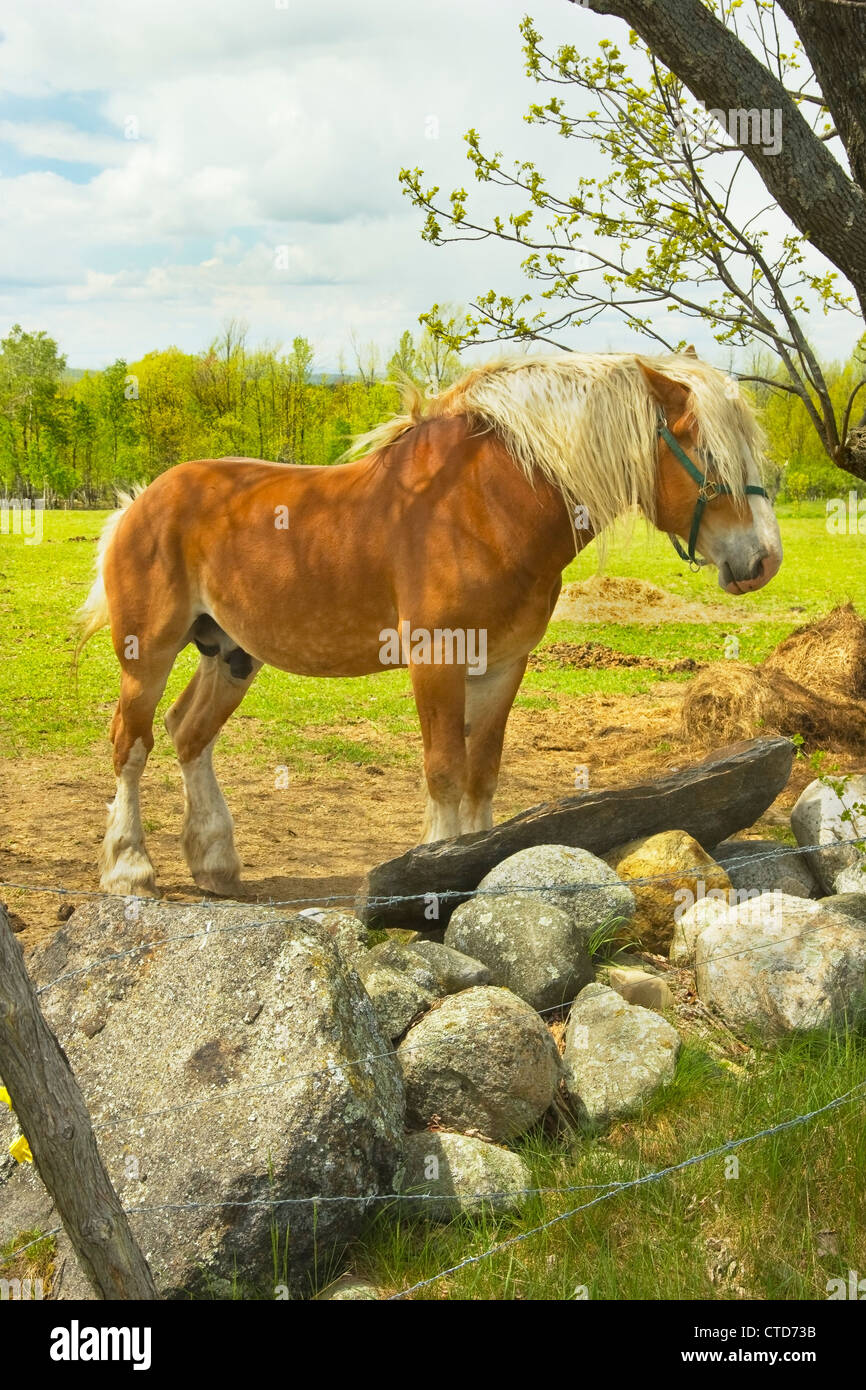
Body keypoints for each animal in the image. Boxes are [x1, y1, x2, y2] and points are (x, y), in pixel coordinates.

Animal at [77, 353, 783, 895]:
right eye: (710, 457)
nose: (763, 560)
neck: (484, 506)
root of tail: (139, 502)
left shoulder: (502, 665)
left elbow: (481, 771)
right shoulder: (436, 659)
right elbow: (444, 769)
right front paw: (435, 871)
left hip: (229, 653)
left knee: (188, 735)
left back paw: (216, 865)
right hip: (148, 653)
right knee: (131, 743)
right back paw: (130, 870)